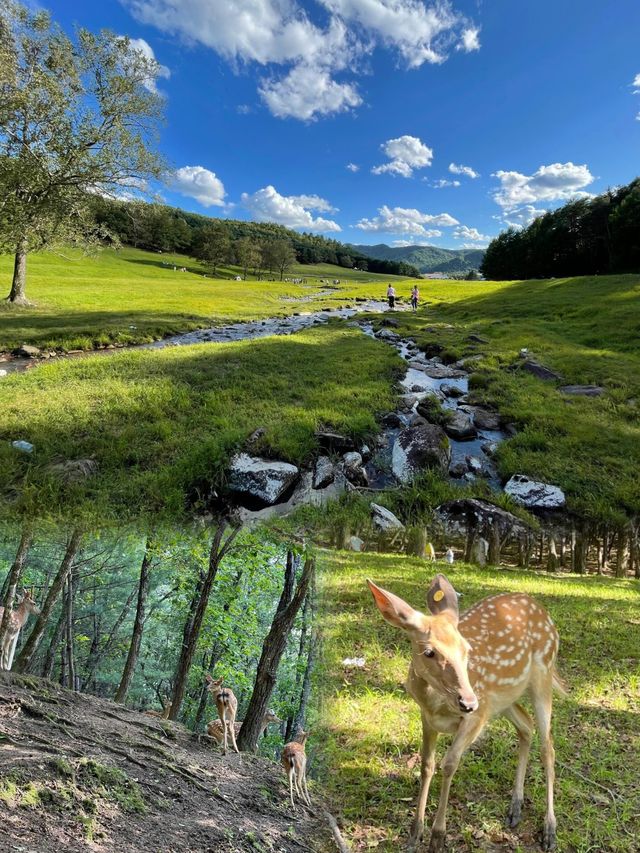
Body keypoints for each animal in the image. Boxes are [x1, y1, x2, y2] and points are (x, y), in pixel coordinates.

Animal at [368, 576, 568, 848]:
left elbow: (449, 764)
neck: (437, 703)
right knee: (526, 726)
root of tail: (543, 611)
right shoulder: (427, 717)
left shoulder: (476, 718)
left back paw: (549, 830)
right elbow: (427, 764)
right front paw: (415, 832)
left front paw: (438, 837)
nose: (468, 701)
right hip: (503, 698)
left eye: (467, 649)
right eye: (429, 651)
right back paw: (515, 807)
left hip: (541, 676)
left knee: (548, 746)